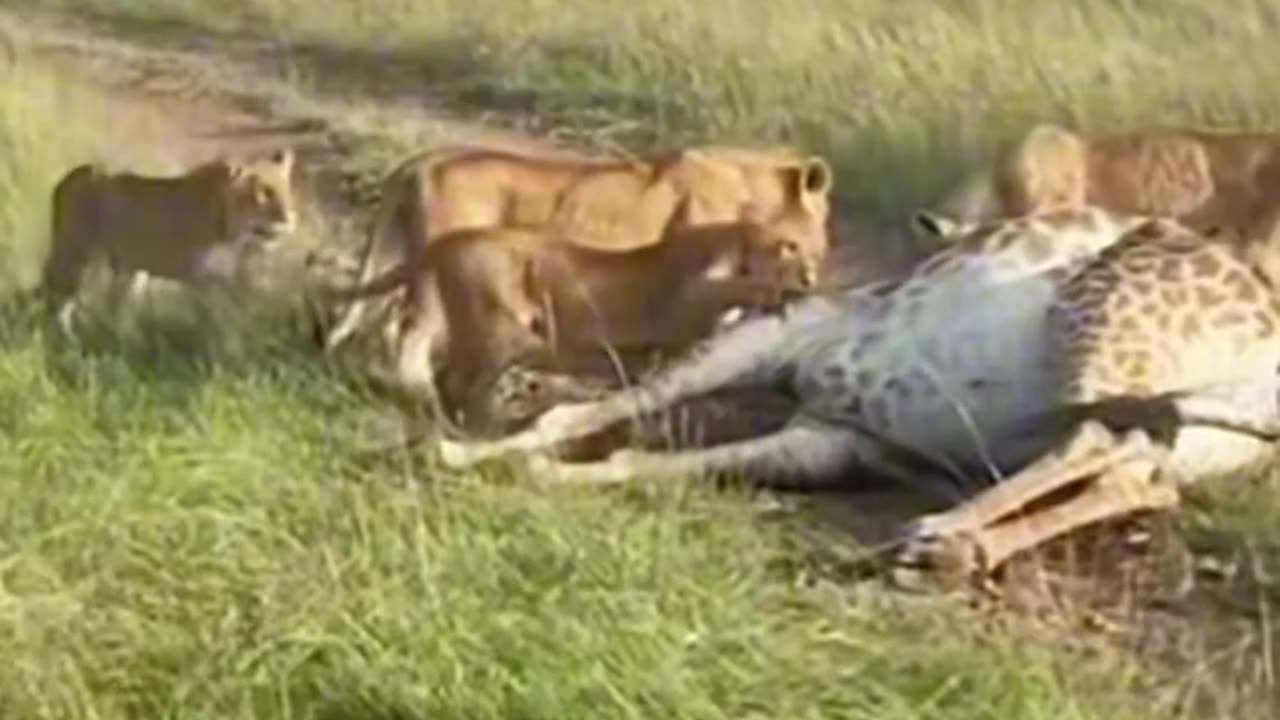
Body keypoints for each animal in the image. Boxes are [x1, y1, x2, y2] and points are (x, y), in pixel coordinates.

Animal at [42, 148, 298, 334]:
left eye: (286, 190)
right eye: (263, 193)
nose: (290, 218)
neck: (234, 235)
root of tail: (67, 177)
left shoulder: (228, 280)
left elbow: (233, 318)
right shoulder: (202, 281)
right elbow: (214, 320)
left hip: (131, 268)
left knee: (115, 306)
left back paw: (126, 338)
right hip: (73, 252)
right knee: (59, 300)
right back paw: (66, 340)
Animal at [311, 143, 835, 393]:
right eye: (820, 225)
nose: (816, 272)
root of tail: (417, 162)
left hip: (402, 255)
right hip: (436, 271)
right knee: (407, 329)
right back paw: (418, 387)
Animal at [320, 199, 820, 434]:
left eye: (814, 251)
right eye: (788, 245)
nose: (811, 275)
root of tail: (446, 241)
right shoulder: (678, 296)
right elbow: (719, 290)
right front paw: (775, 293)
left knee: (446, 378)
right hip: (505, 328)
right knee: (457, 381)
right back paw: (484, 427)